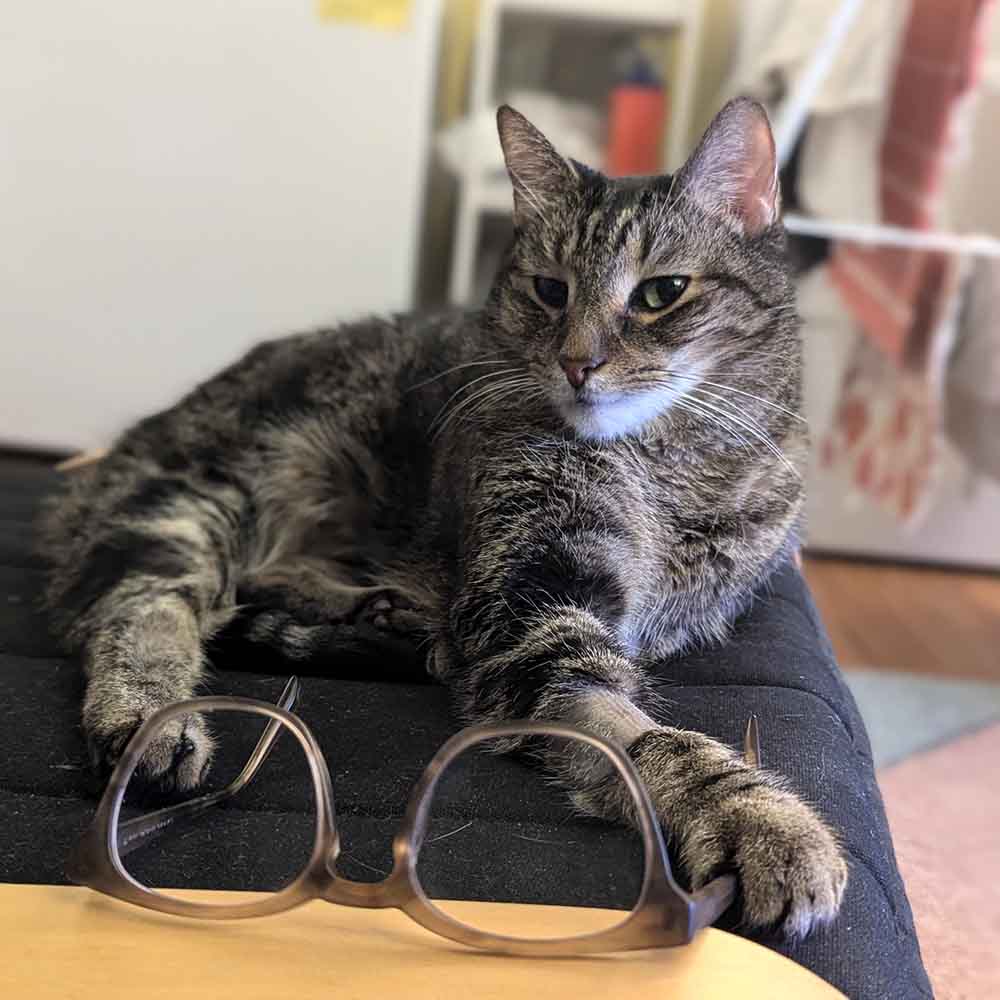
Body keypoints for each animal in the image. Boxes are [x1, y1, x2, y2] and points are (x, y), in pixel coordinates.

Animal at [43, 97, 848, 932]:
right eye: (549, 290)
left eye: (662, 293)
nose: (577, 362)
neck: (672, 468)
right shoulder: (530, 613)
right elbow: (638, 733)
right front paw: (753, 815)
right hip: (210, 487)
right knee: (137, 602)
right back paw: (151, 720)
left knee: (254, 582)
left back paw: (379, 610)